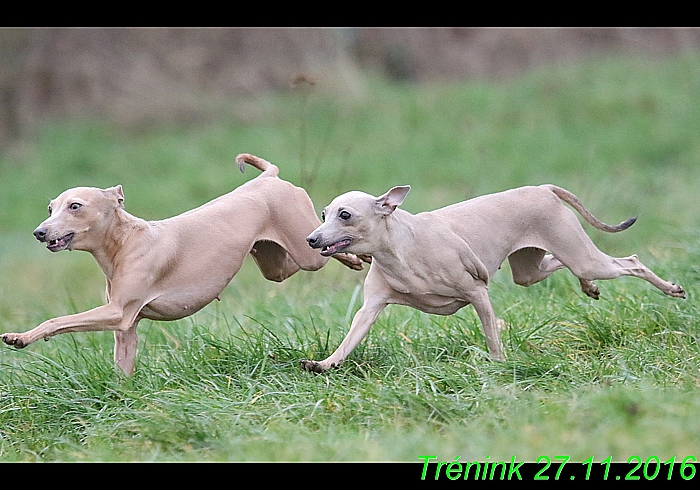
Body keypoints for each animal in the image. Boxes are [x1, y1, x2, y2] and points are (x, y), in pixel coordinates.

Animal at [4, 154, 366, 376]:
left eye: (75, 206)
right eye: (50, 208)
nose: (39, 232)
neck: (125, 242)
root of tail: (269, 177)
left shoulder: (118, 313)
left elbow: (57, 320)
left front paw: (20, 337)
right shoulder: (126, 328)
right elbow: (123, 369)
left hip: (305, 253)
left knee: (321, 247)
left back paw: (354, 252)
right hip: (275, 264)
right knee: (300, 260)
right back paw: (354, 256)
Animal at [300, 184, 684, 372]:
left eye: (345, 215)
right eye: (324, 213)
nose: (311, 239)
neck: (401, 249)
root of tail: (543, 188)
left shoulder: (477, 292)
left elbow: (491, 335)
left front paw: (500, 366)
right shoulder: (371, 308)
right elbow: (348, 341)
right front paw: (323, 364)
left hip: (584, 257)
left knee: (631, 262)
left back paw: (671, 288)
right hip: (531, 269)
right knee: (558, 264)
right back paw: (589, 288)